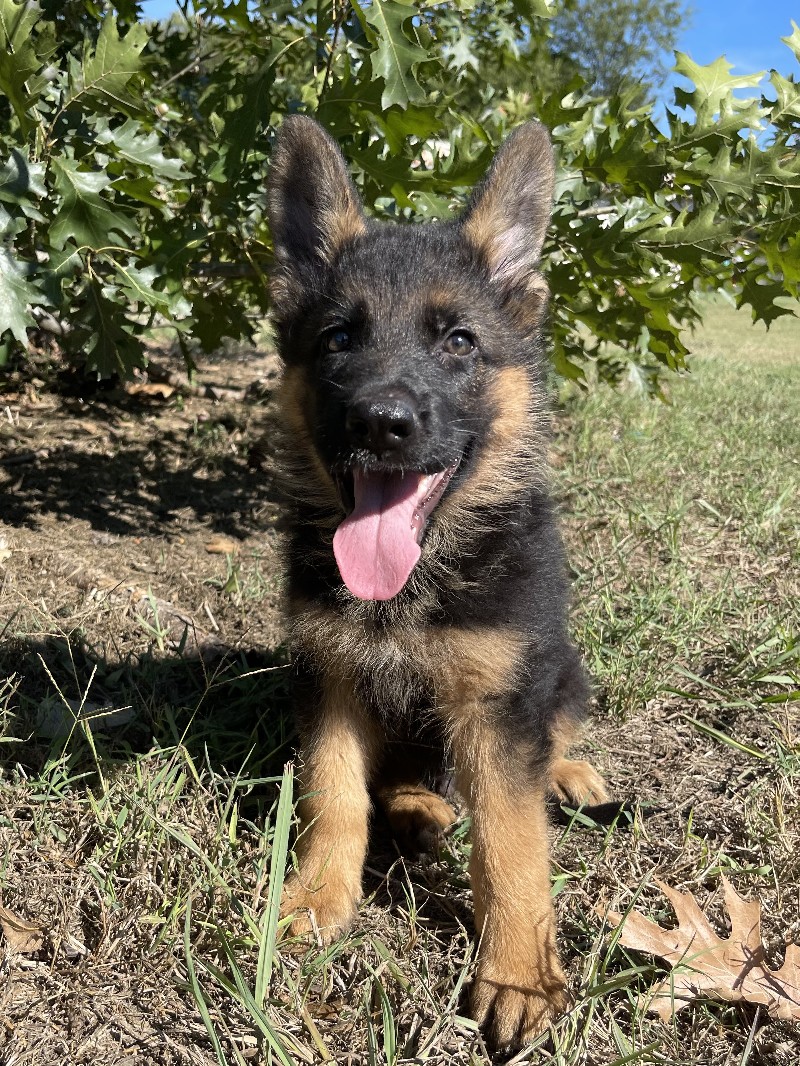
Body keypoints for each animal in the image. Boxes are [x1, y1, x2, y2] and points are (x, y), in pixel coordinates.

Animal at [267, 114, 605, 1048]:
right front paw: (314, 900)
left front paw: (518, 971)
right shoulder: (330, 676)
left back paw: (568, 773)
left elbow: (512, 840)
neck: (414, 590)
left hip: (563, 670)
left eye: (458, 342)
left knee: (555, 736)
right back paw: (419, 809)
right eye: (339, 340)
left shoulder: (500, 702)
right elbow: (334, 793)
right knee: (402, 779)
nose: (380, 423)